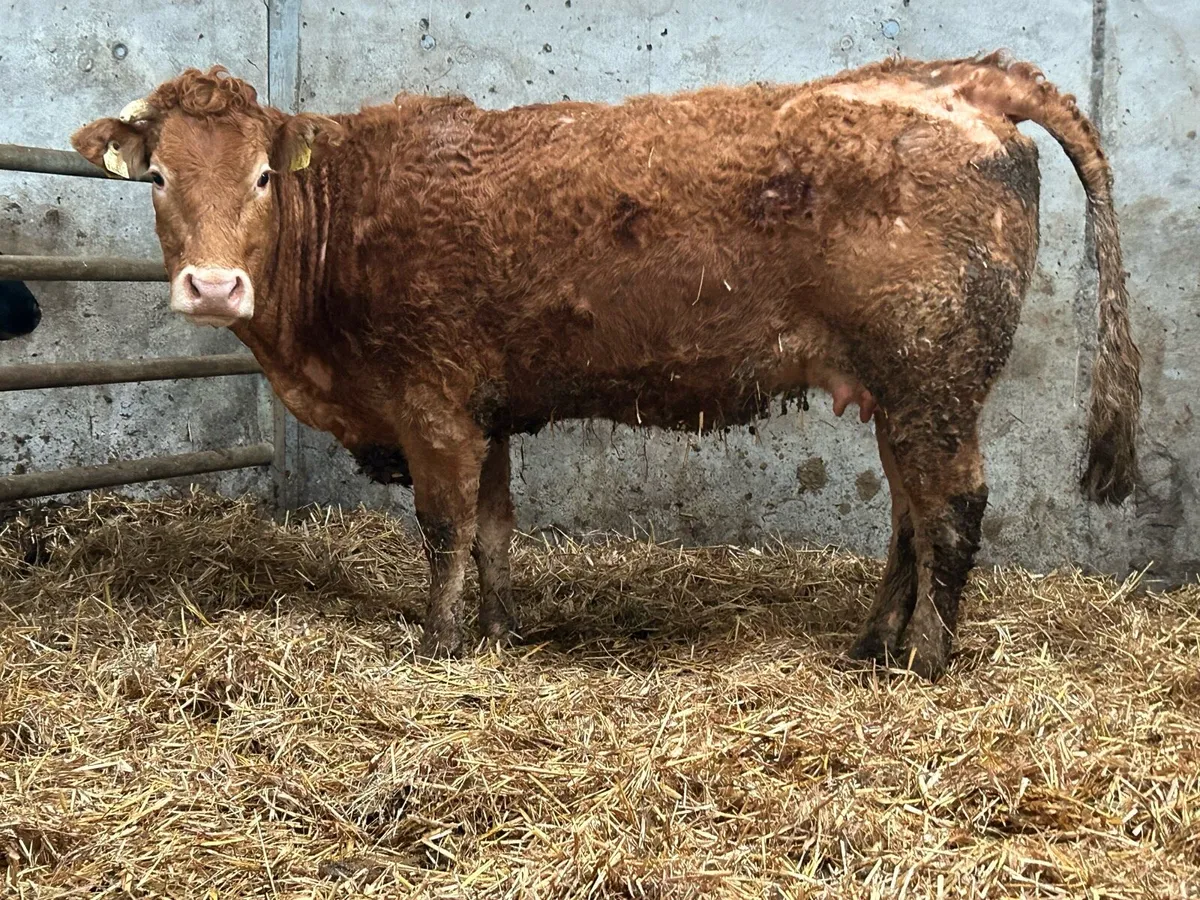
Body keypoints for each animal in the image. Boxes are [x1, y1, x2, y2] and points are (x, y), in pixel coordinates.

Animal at [71, 50, 1141, 680]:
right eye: (157, 176)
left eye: (261, 175)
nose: (214, 287)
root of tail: (957, 77)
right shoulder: (487, 407)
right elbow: (496, 530)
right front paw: (500, 633)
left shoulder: (432, 402)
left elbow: (445, 528)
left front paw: (440, 644)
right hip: (896, 391)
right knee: (911, 518)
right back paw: (871, 647)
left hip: (933, 380)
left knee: (952, 509)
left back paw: (925, 663)